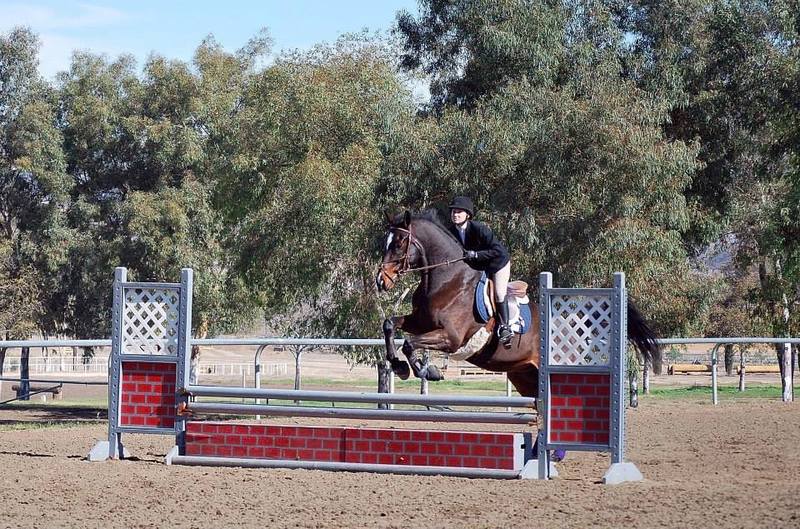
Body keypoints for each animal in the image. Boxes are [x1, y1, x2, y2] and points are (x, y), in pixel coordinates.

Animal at [376, 209, 664, 396]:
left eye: (399, 242)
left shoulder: (451, 337)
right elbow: (390, 324)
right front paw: (399, 366)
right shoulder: (420, 321)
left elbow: (410, 343)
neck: (446, 278)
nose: (381, 281)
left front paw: (428, 371)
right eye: (386, 241)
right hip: (525, 375)